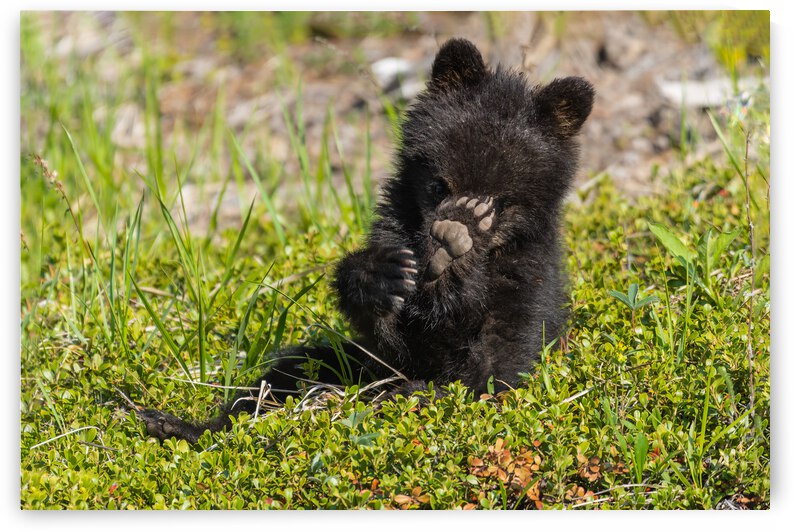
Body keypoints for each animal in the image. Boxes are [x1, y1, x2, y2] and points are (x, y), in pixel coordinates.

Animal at [139, 38, 594, 443]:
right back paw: (176, 425)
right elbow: (389, 337)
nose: (451, 226)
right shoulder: (397, 234)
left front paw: (454, 256)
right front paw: (384, 276)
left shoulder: (525, 280)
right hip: (340, 363)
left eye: (498, 203)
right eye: (438, 184)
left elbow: (497, 365)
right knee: (287, 373)